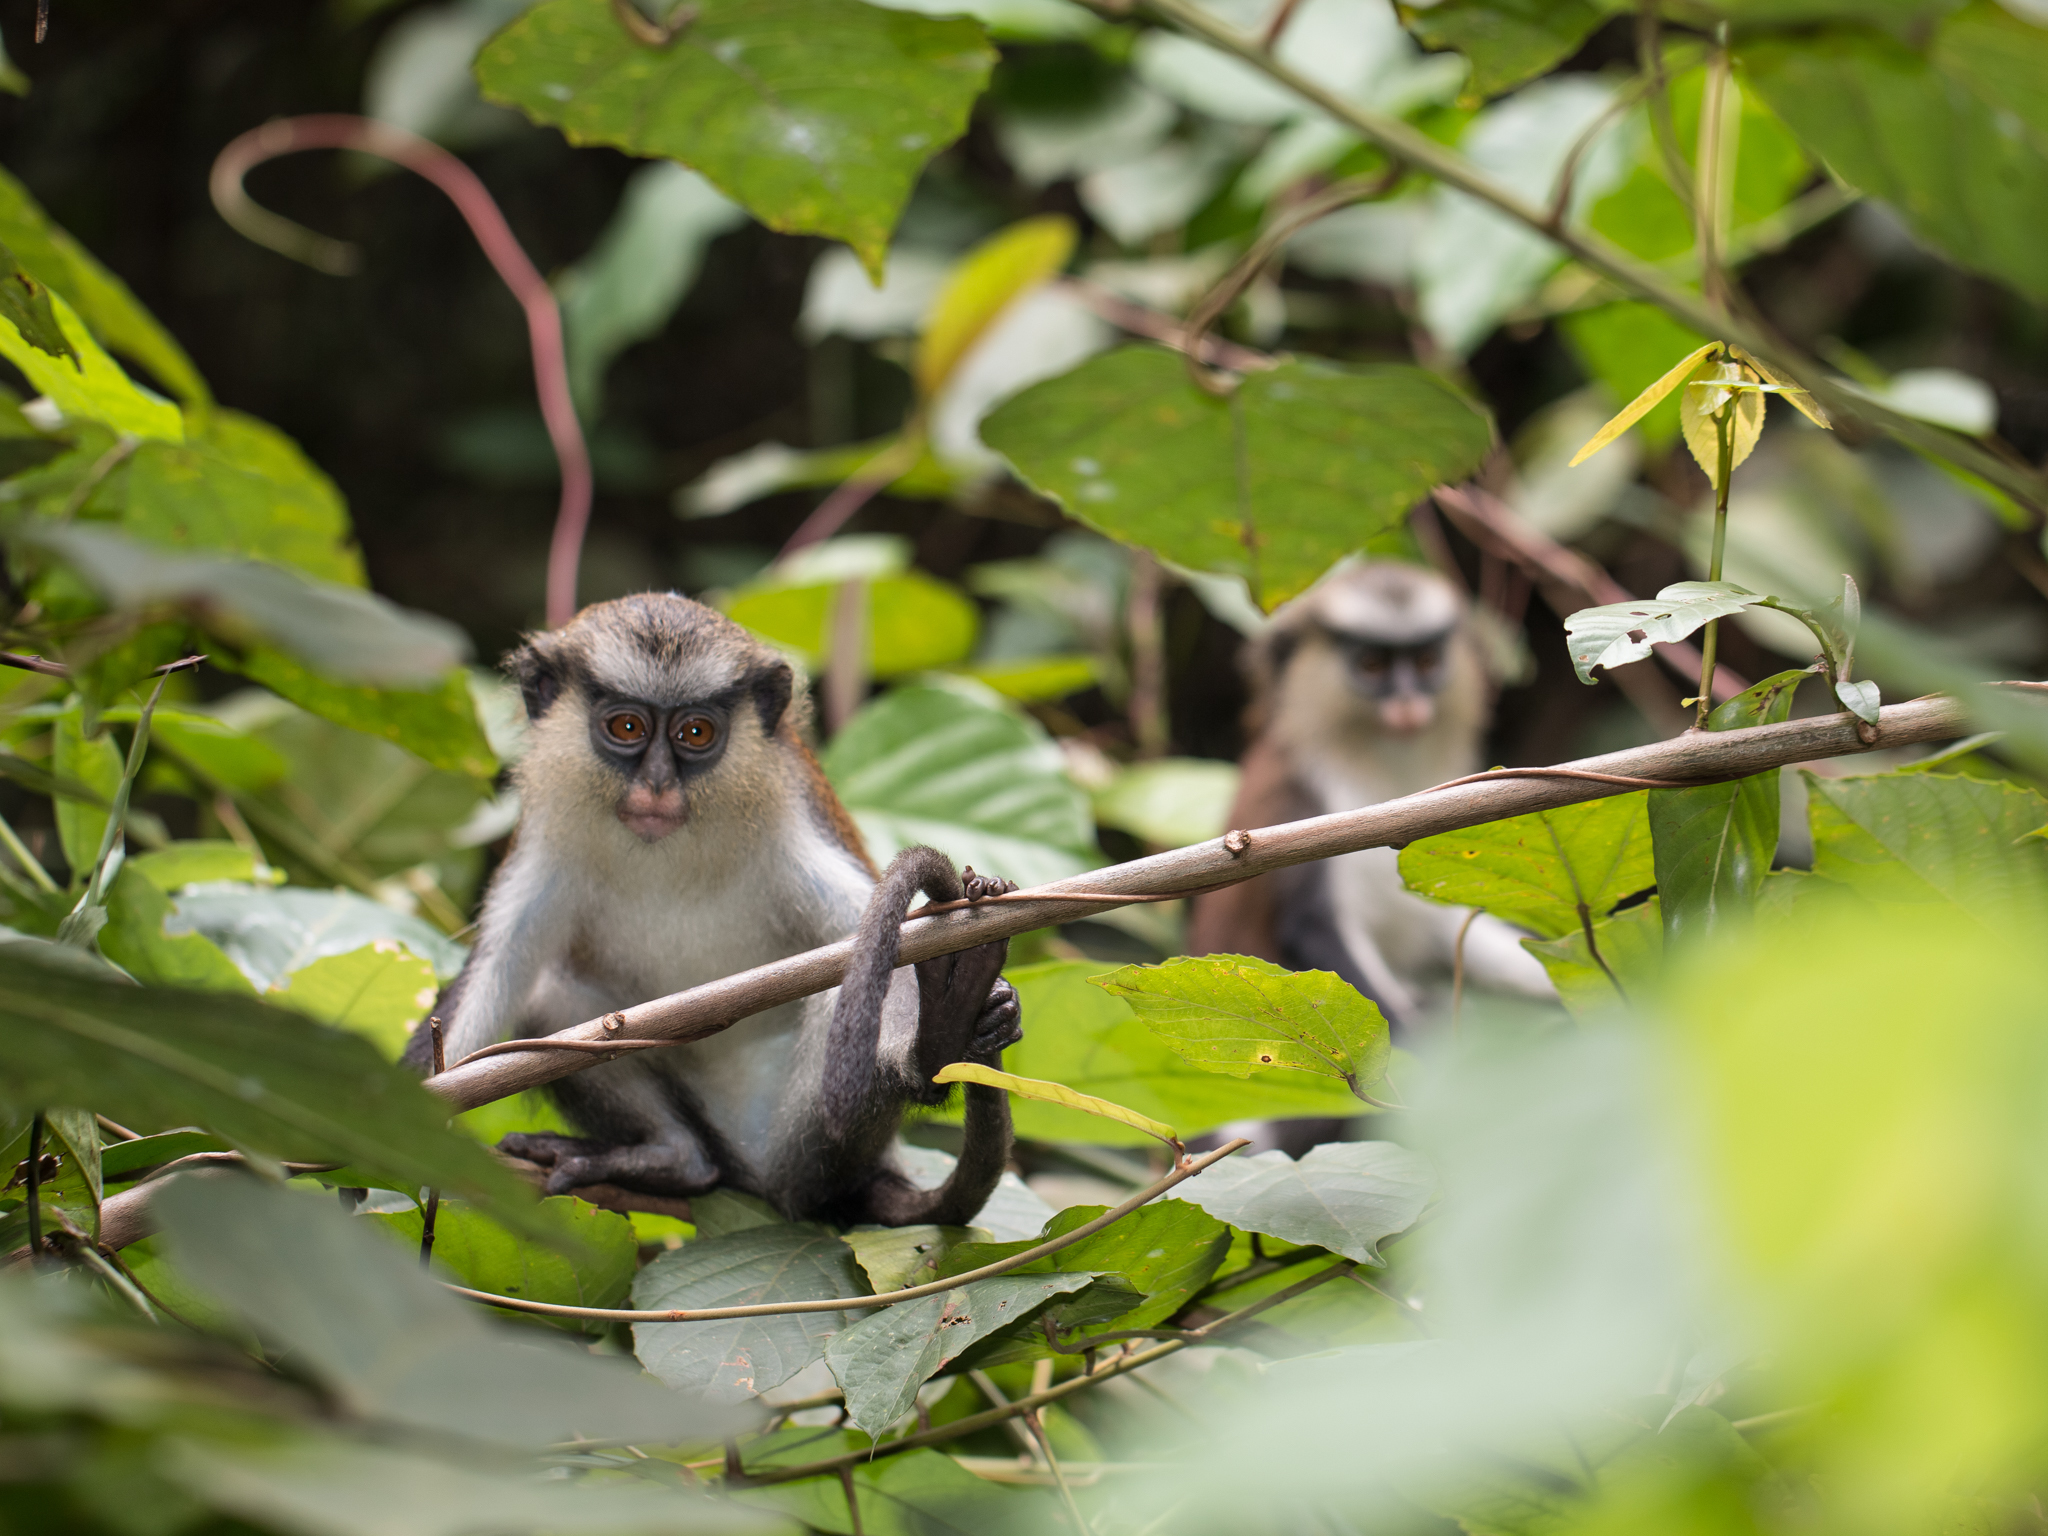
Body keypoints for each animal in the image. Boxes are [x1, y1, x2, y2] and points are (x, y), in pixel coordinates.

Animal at [411, 593, 1024, 1236]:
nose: (657, 784)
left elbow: (879, 950)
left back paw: (938, 1037)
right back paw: (671, 1157)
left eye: (696, 733)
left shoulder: (793, 826)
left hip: (802, 1145)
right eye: (626, 727)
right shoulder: (545, 847)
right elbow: (491, 989)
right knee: (548, 995)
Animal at [1187, 561, 1548, 1036]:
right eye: (1373, 665)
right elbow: (1314, 931)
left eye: (1426, 661)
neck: (1375, 765)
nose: (1409, 703)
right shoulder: (1300, 804)